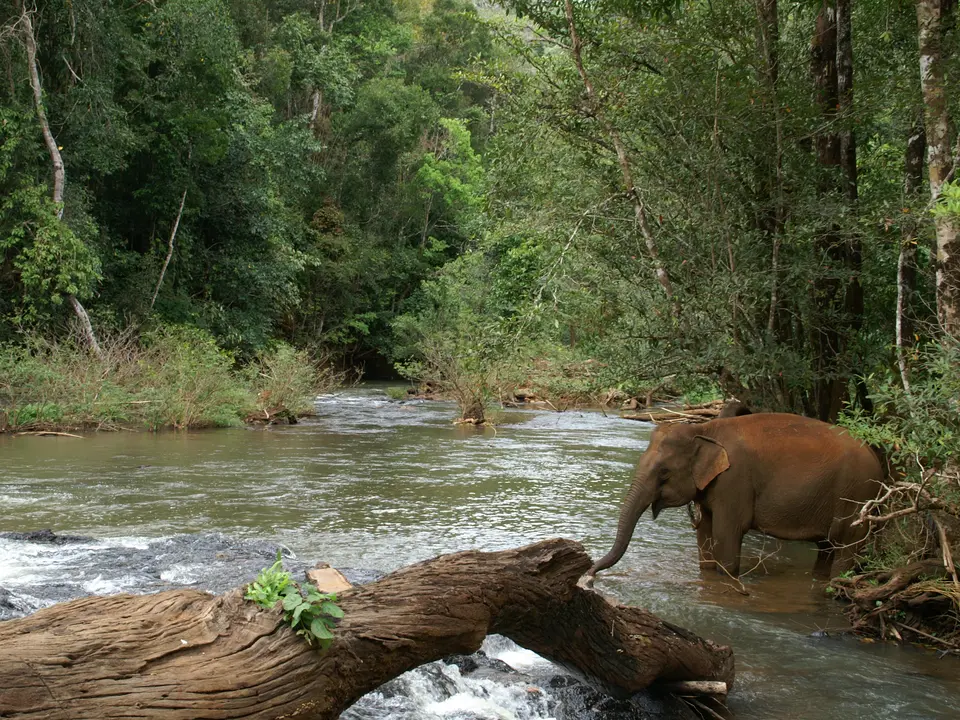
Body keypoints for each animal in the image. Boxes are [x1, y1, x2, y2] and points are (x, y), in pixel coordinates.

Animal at [586, 413, 884, 582]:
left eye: (664, 472)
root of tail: (878, 459)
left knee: (845, 549)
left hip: (856, 496)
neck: (706, 429)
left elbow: (726, 536)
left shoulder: (734, 481)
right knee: (826, 549)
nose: (589, 573)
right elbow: (705, 535)